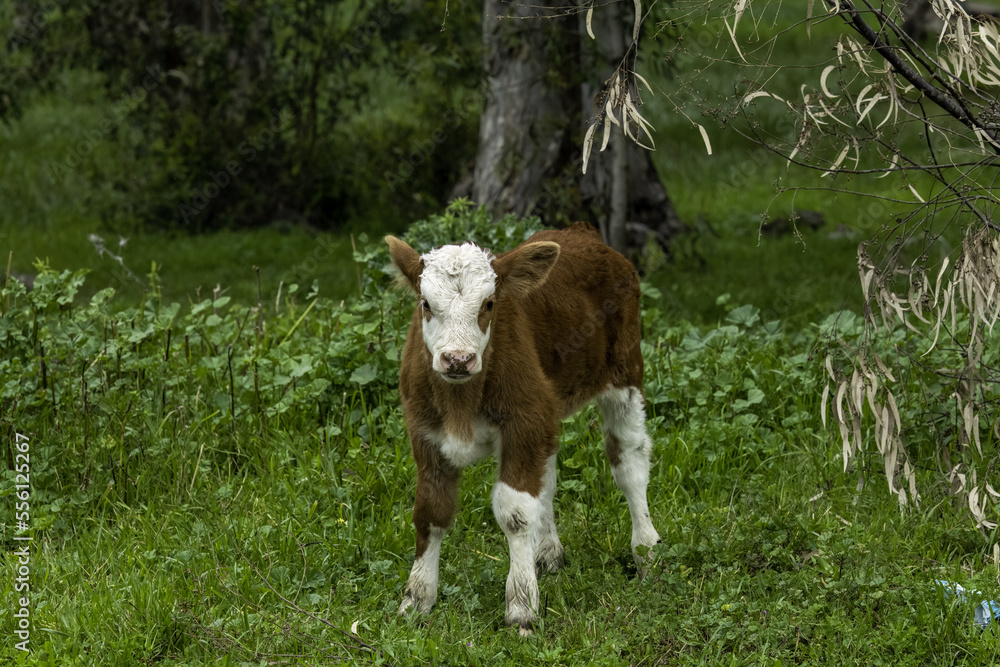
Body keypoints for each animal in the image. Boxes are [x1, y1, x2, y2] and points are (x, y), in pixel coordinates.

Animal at [386, 223, 660, 632]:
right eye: (425, 304)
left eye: (488, 304)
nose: (457, 359)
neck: (460, 403)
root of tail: (581, 231)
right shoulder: (425, 433)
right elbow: (431, 510)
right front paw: (417, 599)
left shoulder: (524, 421)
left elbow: (514, 512)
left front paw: (521, 607)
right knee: (547, 477)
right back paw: (547, 553)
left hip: (624, 373)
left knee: (630, 463)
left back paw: (646, 551)